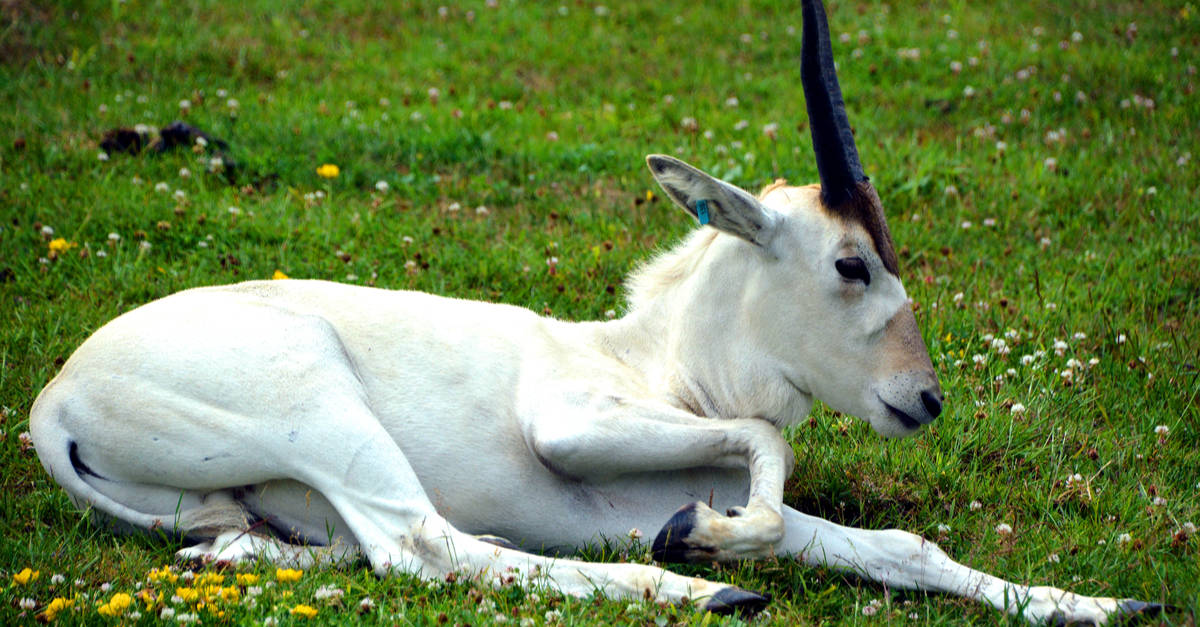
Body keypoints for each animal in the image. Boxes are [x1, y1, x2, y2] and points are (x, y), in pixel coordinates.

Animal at [30, 0, 1161, 619]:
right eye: (851, 263)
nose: (922, 398)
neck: (651, 359)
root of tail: (57, 395)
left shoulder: (663, 488)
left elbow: (896, 545)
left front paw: (1107, 603)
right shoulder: (574, 426)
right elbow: (767, 439)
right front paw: (710, 554)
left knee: (341, 543)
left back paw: (235, 548)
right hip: (324, 414)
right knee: (425, 545)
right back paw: (716, 593)